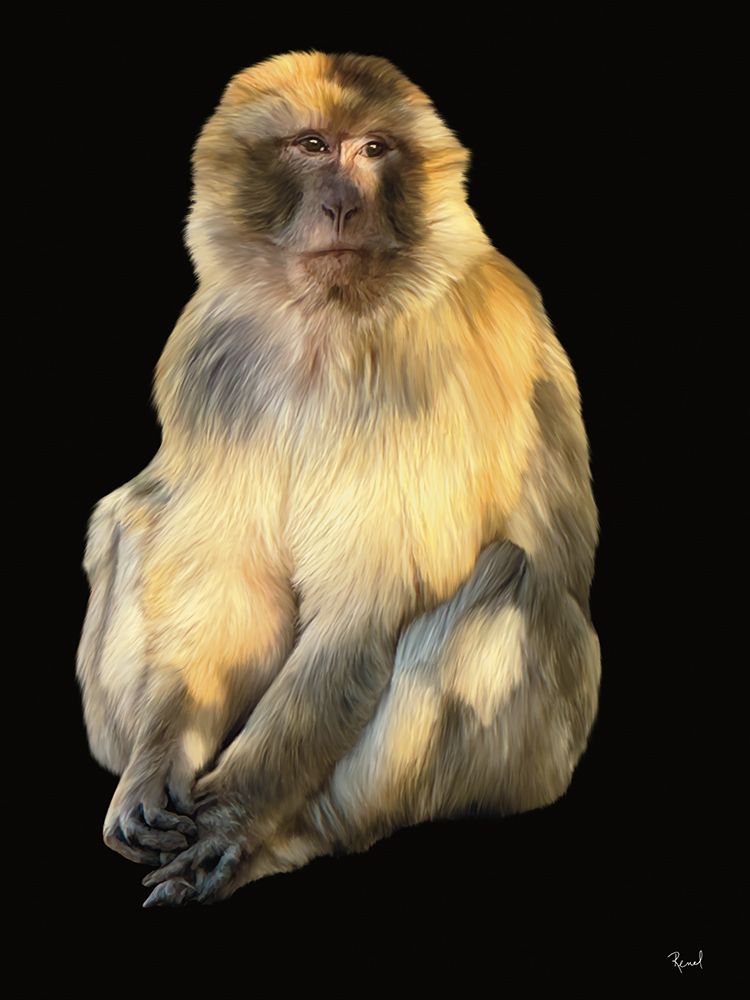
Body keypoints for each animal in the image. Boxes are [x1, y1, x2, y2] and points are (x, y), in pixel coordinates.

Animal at [76, 49, 601, 907]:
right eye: (314, 147)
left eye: (376, 150)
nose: (344, 205)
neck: (326, 320)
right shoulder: (209, 352)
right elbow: (232, 590)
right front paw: (153, 771)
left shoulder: (439, 357)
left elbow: (368, 604)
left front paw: (233, 821)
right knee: (134, 513)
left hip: (534, 759)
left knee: (504, 581)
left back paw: (299, 839)